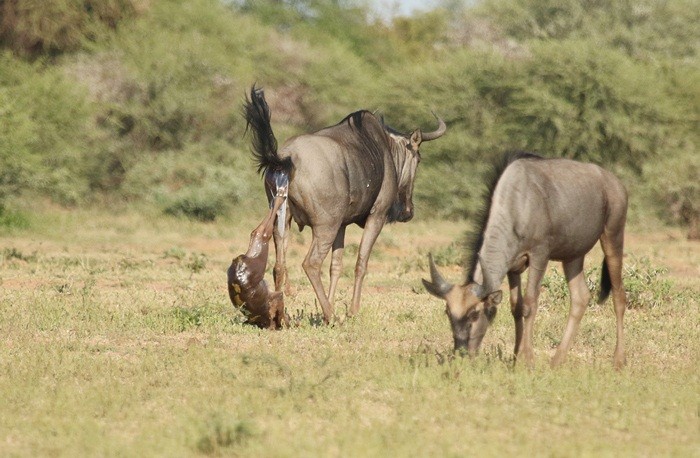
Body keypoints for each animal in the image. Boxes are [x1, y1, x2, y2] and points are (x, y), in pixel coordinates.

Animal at [227, 197, 288, 330]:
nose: (289, 320)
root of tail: (239, 260)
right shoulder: (275, 299)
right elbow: (280, 296)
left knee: (257, 232)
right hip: (259, 260)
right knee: (264, 233)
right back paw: (280, 197)